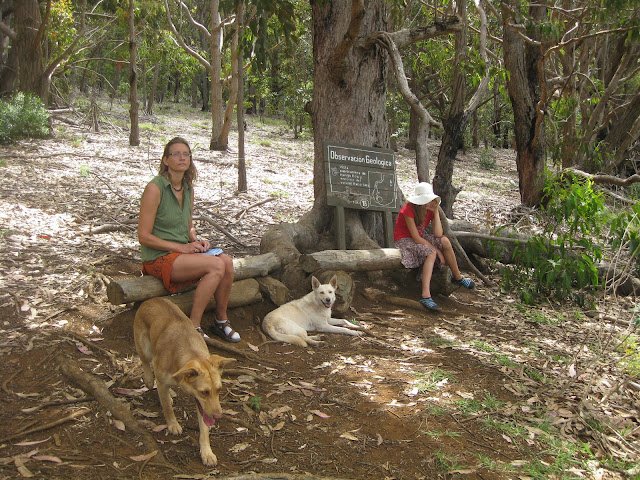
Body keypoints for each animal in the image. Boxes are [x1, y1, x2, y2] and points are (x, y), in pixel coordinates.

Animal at [133, 297, 235, 466]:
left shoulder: (202, 405)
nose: (218, 416)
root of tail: (151, 299)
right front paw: (173, 424)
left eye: (219, 390)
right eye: (204, 392)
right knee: (145, 361)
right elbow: (167, 408)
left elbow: (204, 429)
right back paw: (149, 379)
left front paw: (207, 452)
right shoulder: (162, 381)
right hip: (145, 348)